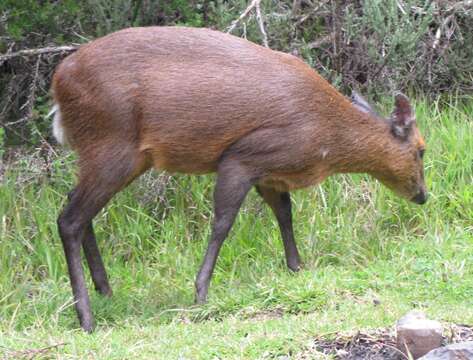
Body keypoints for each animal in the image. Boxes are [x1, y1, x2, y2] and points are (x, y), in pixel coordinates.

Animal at [49, 26, 426, 332]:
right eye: (421, 150)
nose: (423, 195)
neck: (324, 138)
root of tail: (57, 85)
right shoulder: (242, 155)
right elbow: (223, 223)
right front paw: (200, 292)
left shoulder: (270, 173)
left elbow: (285, 215)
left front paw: (296, 268)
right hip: (113, 144)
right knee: (69, 218)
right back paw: (86, 318)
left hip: (118, 156)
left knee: (77, 207)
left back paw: (105, 291)